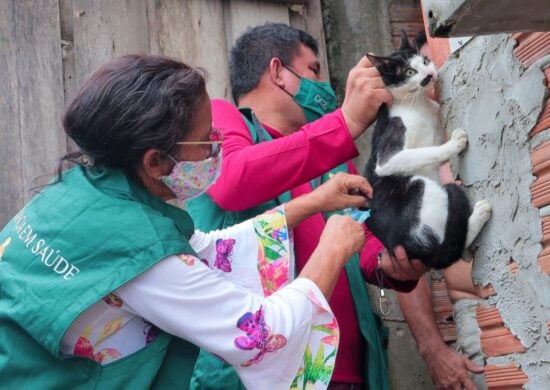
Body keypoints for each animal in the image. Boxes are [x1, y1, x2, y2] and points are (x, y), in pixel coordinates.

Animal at [366, 30, 492, 270]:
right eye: (410, 72)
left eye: (424, 61)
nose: (431, 73)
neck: (417, 104)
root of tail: (421, 254)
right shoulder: (387, 156)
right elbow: (426, 152)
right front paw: (455, 143)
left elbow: (431, 151)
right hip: (418, 186)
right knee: (454, 245)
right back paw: (479, 214)